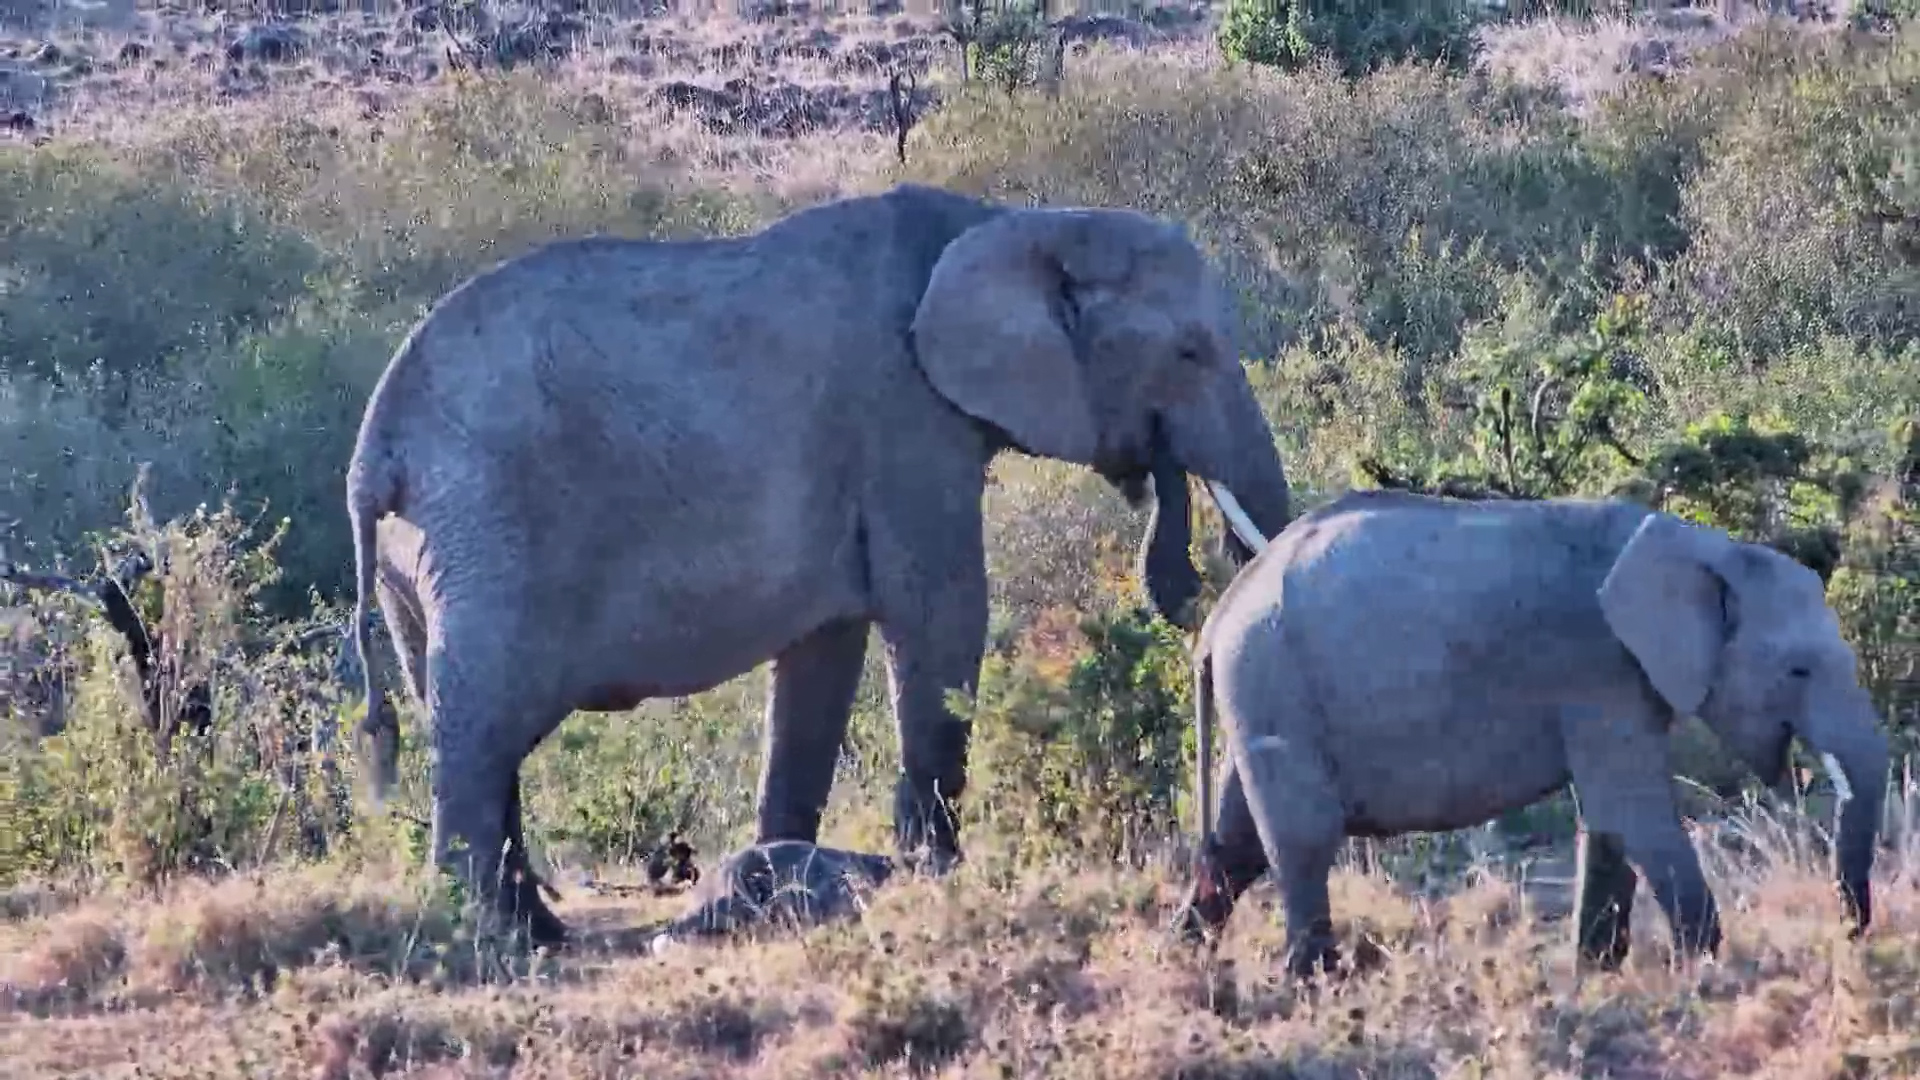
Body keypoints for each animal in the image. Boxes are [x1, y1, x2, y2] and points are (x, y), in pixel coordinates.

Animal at [343, 182, 1296, 943]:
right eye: (1190, 353)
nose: (1168, 494)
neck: (1020, 220)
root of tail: (375, 451)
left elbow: (822, 656)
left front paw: (776, 876)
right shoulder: (905, 419)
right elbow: (940, 614)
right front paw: (930, 876)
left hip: (424, 556)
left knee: (463, 716)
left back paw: (532, 927)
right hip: (488, 528)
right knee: (479, 723)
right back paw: (495, 935)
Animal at [1167, 489, 1889, 978]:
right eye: (1797, 670)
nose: (1850, 936)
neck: (1705, 546)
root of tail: (1221, 614)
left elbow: (1608, 821)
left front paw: (1596, 973)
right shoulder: (1598, 668)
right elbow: (1631, 810)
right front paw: (1709, 968)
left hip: (1263, 692)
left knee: (1235, 842)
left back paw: (1184, 963)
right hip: (1272, 676)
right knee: (1302, 838)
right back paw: (1314, 984)